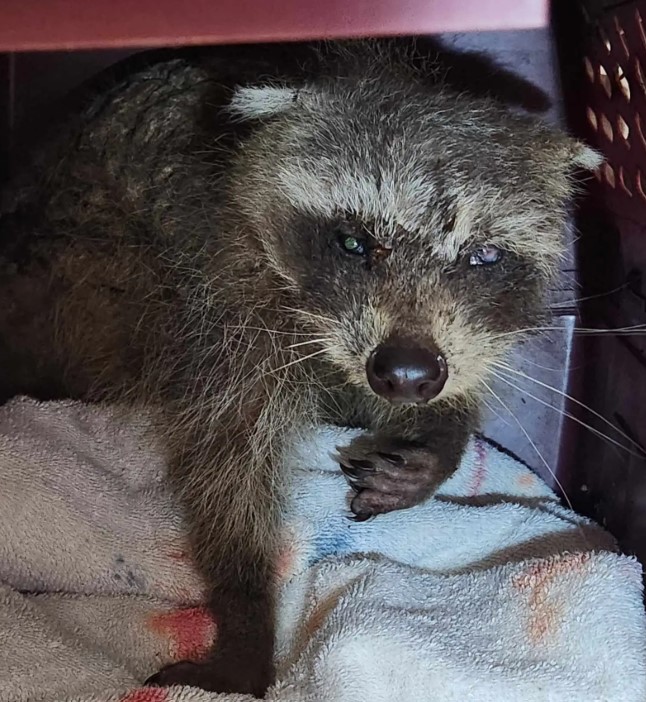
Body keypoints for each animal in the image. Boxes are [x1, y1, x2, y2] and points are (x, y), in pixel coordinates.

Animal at [0, 40, 599, 696]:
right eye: (354, 242)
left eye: (483, 256)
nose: (407, 374)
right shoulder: (219, 302)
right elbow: (225, 466)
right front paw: (245, 611)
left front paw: (436, 440)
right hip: (88, 281)